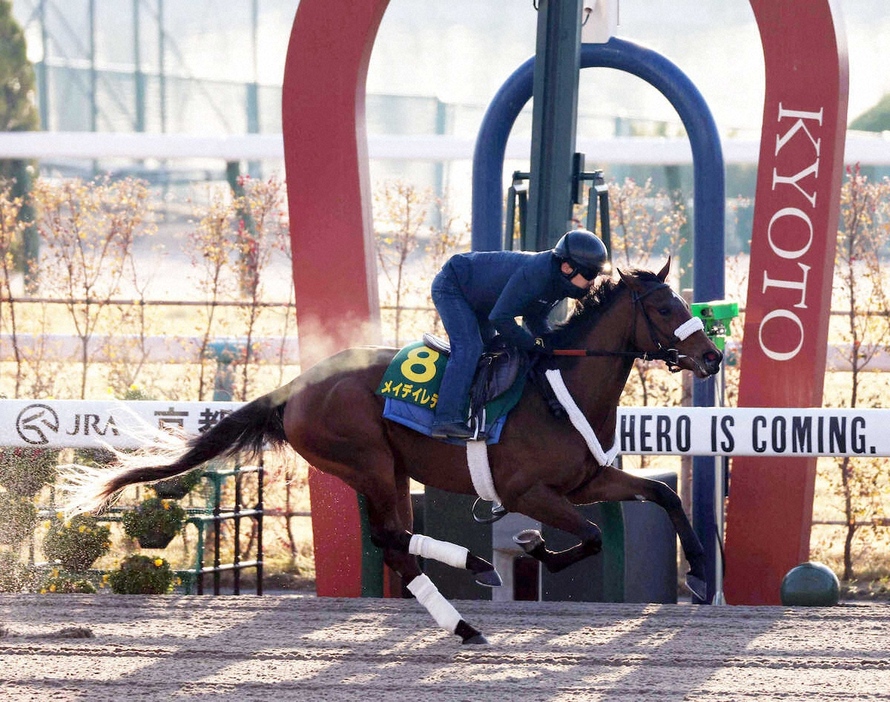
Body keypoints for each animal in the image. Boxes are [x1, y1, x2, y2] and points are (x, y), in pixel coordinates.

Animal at [64, 262, 720, 648]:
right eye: (666, 308)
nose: (712, 358)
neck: (560, 390)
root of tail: (295, 388)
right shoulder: (528, 492)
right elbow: (590, 536)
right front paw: (532, 545)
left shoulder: (586, 481)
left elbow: (661, 494)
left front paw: (698, 571)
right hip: (370, 463)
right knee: (388, 539)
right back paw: (472, 572)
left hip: (392, 472)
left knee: (399, 547)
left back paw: (465, 621)